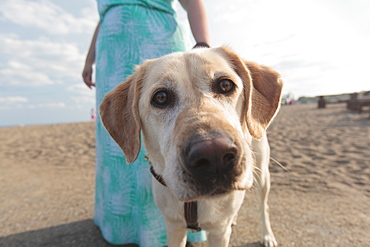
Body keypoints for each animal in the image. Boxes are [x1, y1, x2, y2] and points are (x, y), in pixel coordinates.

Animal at [99, 46, 282, 247]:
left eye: (226, 85)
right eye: (161, 97)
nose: (214, 154)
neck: (195, 203)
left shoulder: (219, 231)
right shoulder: (173, 227)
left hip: (263, 175)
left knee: (263, 206)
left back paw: (267, 235)